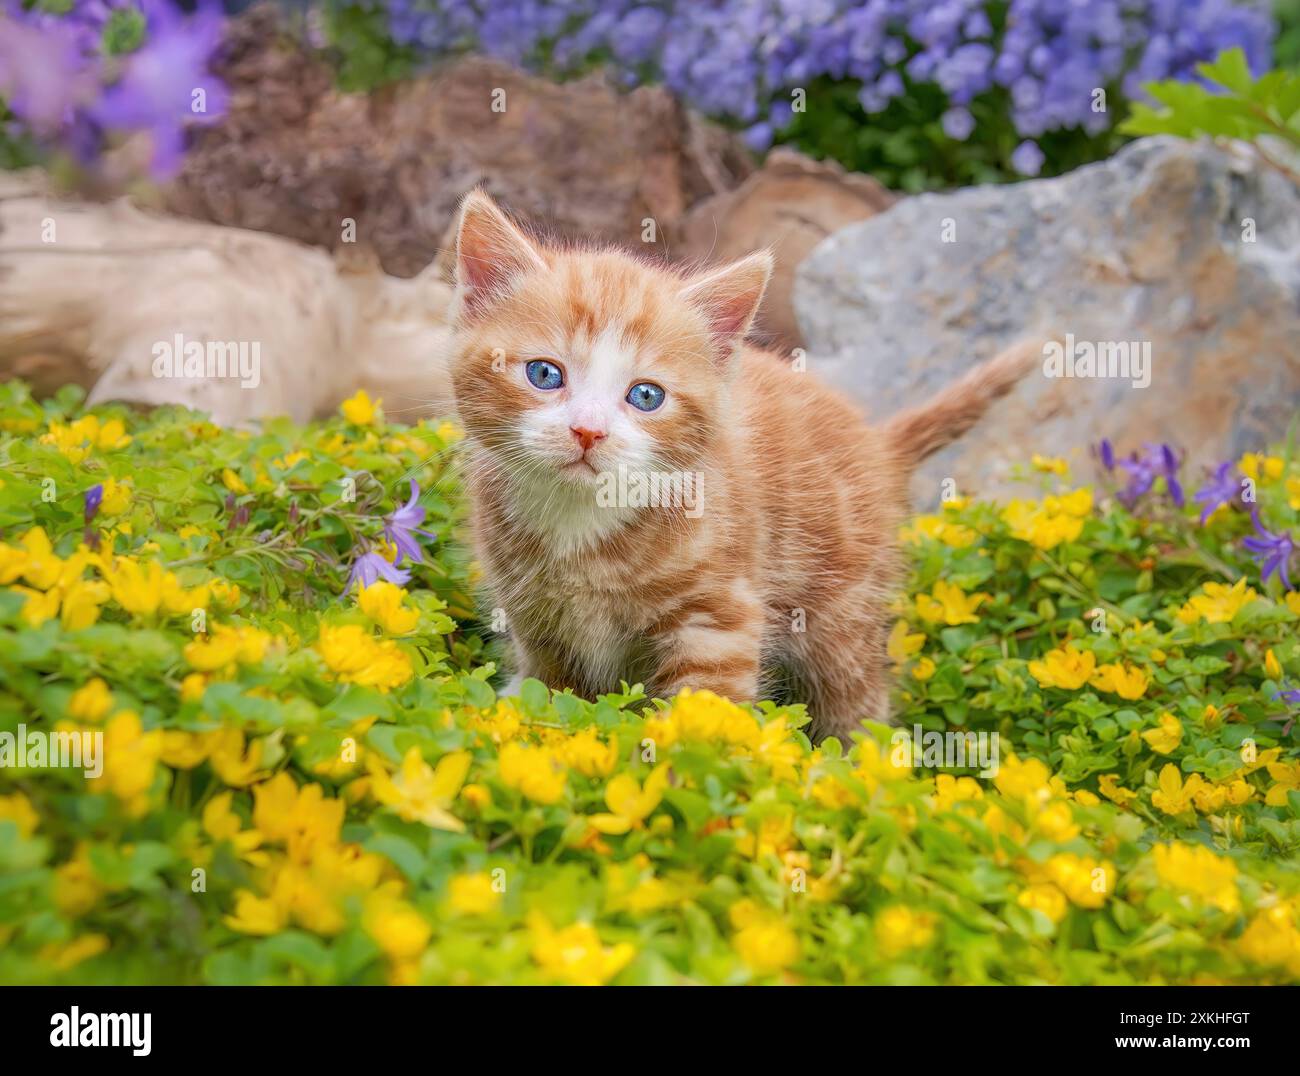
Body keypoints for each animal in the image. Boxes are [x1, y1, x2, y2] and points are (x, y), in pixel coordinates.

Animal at [447, 191, 1034, 738]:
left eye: (646, 396)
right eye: (544, 374)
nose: (589, 431)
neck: (581, 523)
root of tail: (876, 443)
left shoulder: (719, 618)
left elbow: (709, 711)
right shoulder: (538, 623)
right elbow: (551, 697)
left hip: (843, 610)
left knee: (857, 698)